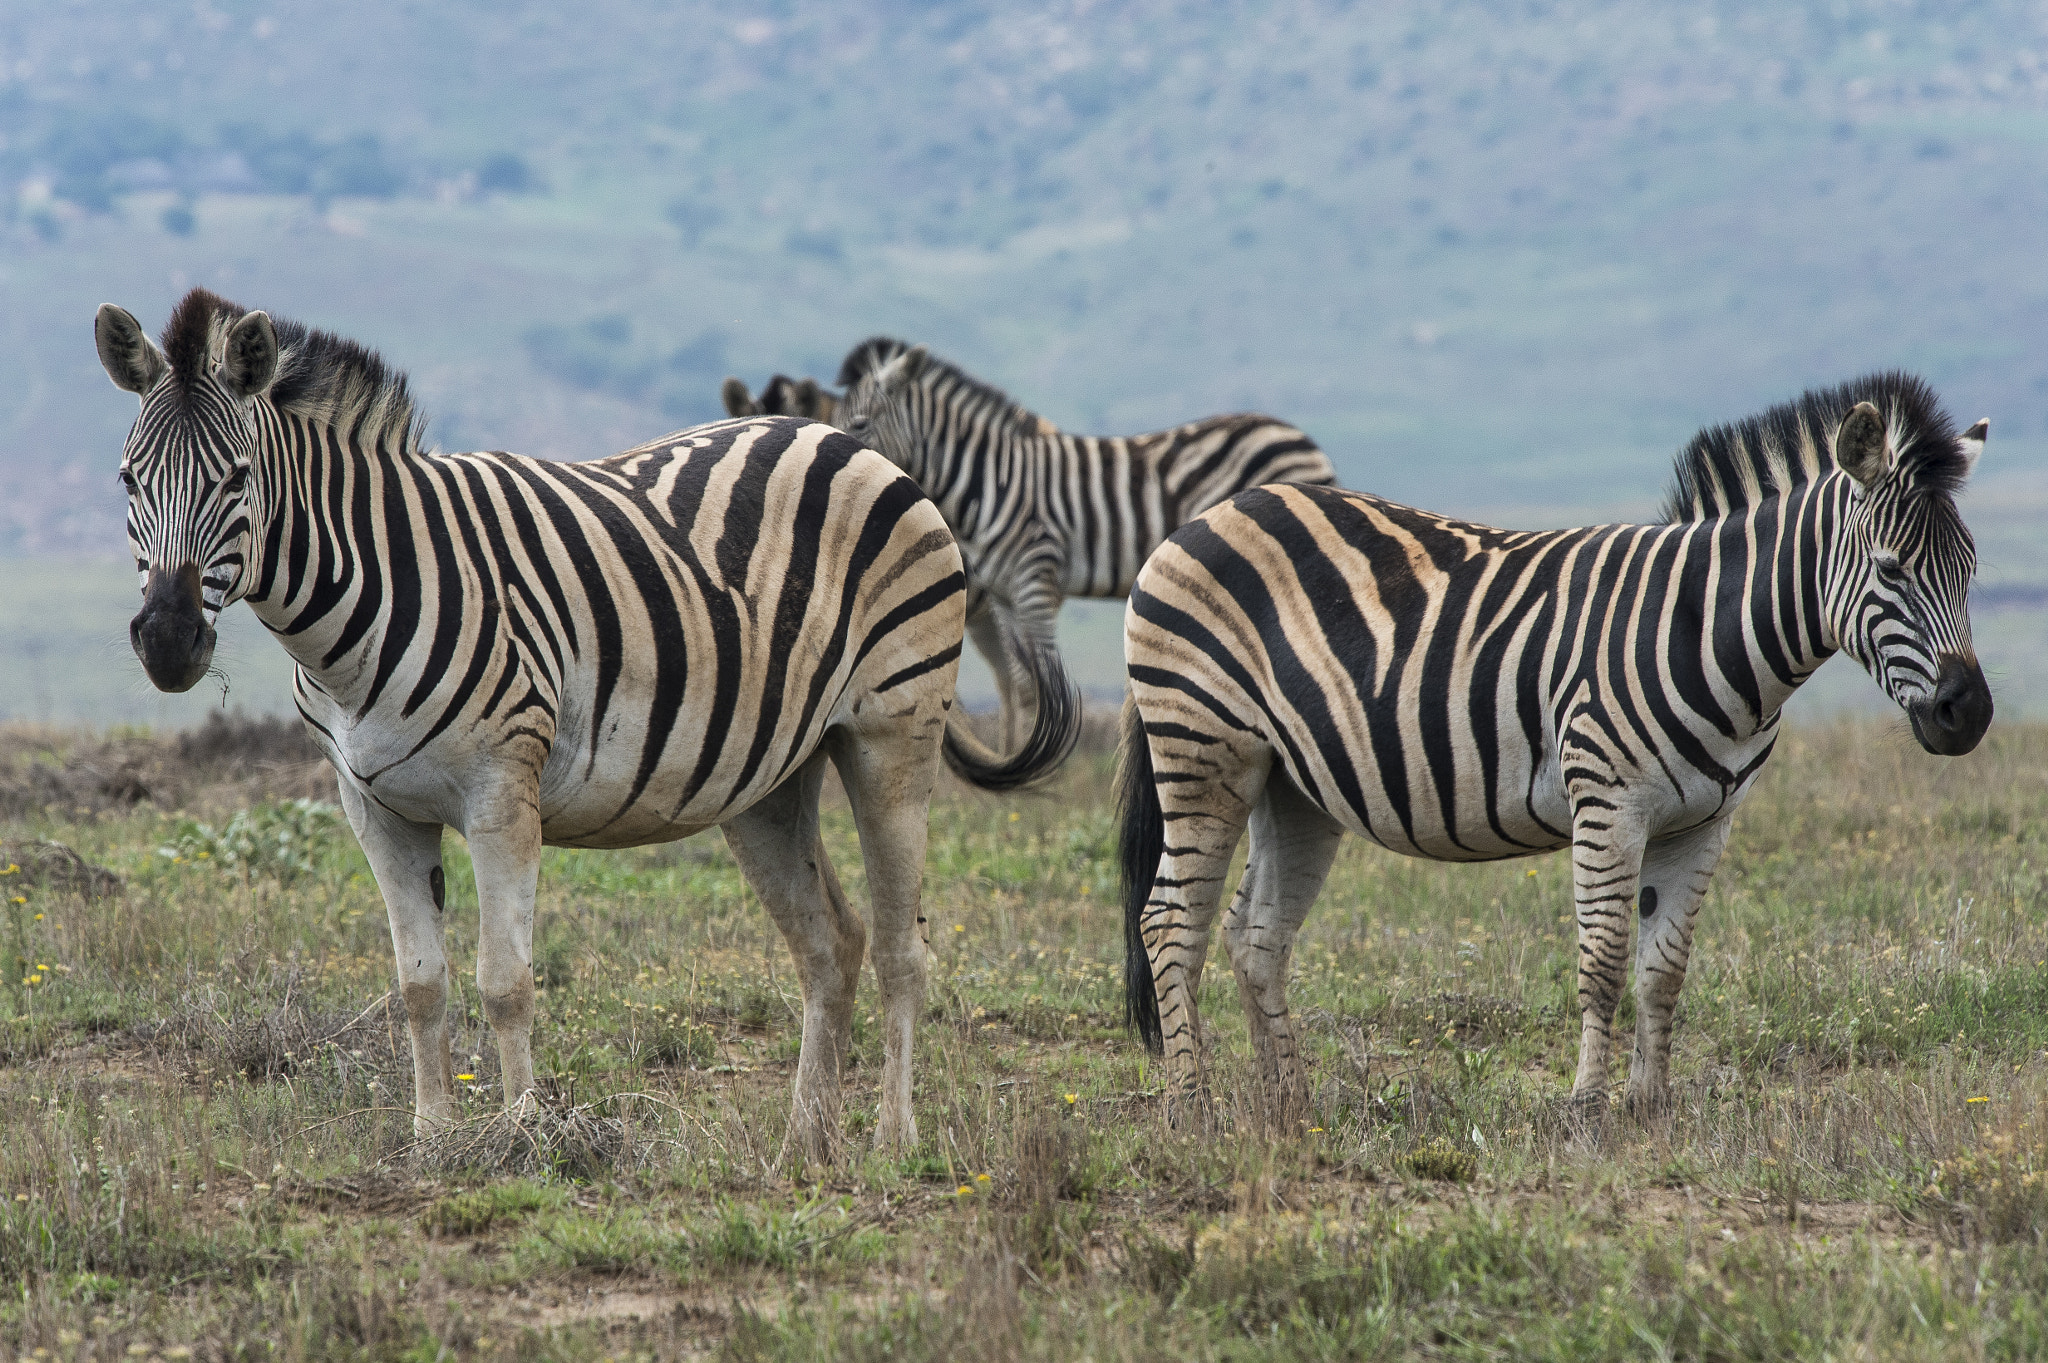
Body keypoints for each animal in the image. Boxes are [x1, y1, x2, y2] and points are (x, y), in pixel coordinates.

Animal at [95, 288, 1080, 1165]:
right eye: (129, 480)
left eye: (236, 479)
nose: (168, 640)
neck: (368, 600)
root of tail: (848, 440)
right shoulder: (372, 805)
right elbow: (420, 987)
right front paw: (432, 1145)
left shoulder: (502, 789)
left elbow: (505, 982)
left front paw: (524, 1139)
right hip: (768, 776)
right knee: (832, 943)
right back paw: (805, 1147)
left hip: (892, 733)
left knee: (904, 950)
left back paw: (892, 1143)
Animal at [836, 337, 1338, 750]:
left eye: (858, 423)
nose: (841, 466)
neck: (989, 481)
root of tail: (1302, 439)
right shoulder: (1004, 595)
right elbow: (1022, 683)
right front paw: (1018, 760)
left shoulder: (1036, 579)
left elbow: (1044, 684)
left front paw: (1047, 758)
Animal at [1118, 373, 1992, 1128]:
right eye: (1890, 569)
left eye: (1971, 569)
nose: (1970, 713)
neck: (1706, 632)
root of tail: (1208, 517)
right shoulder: (1608, 800)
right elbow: (1603, 961)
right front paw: (1587, 1109)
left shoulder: (1706, 822)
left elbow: (1665, 968)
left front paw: (1650, 1106)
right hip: (1203, 750)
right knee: (1169, 922)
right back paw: (1191, 1106)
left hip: (1292, 785)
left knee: (1256, 932)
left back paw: (1289, 1105)